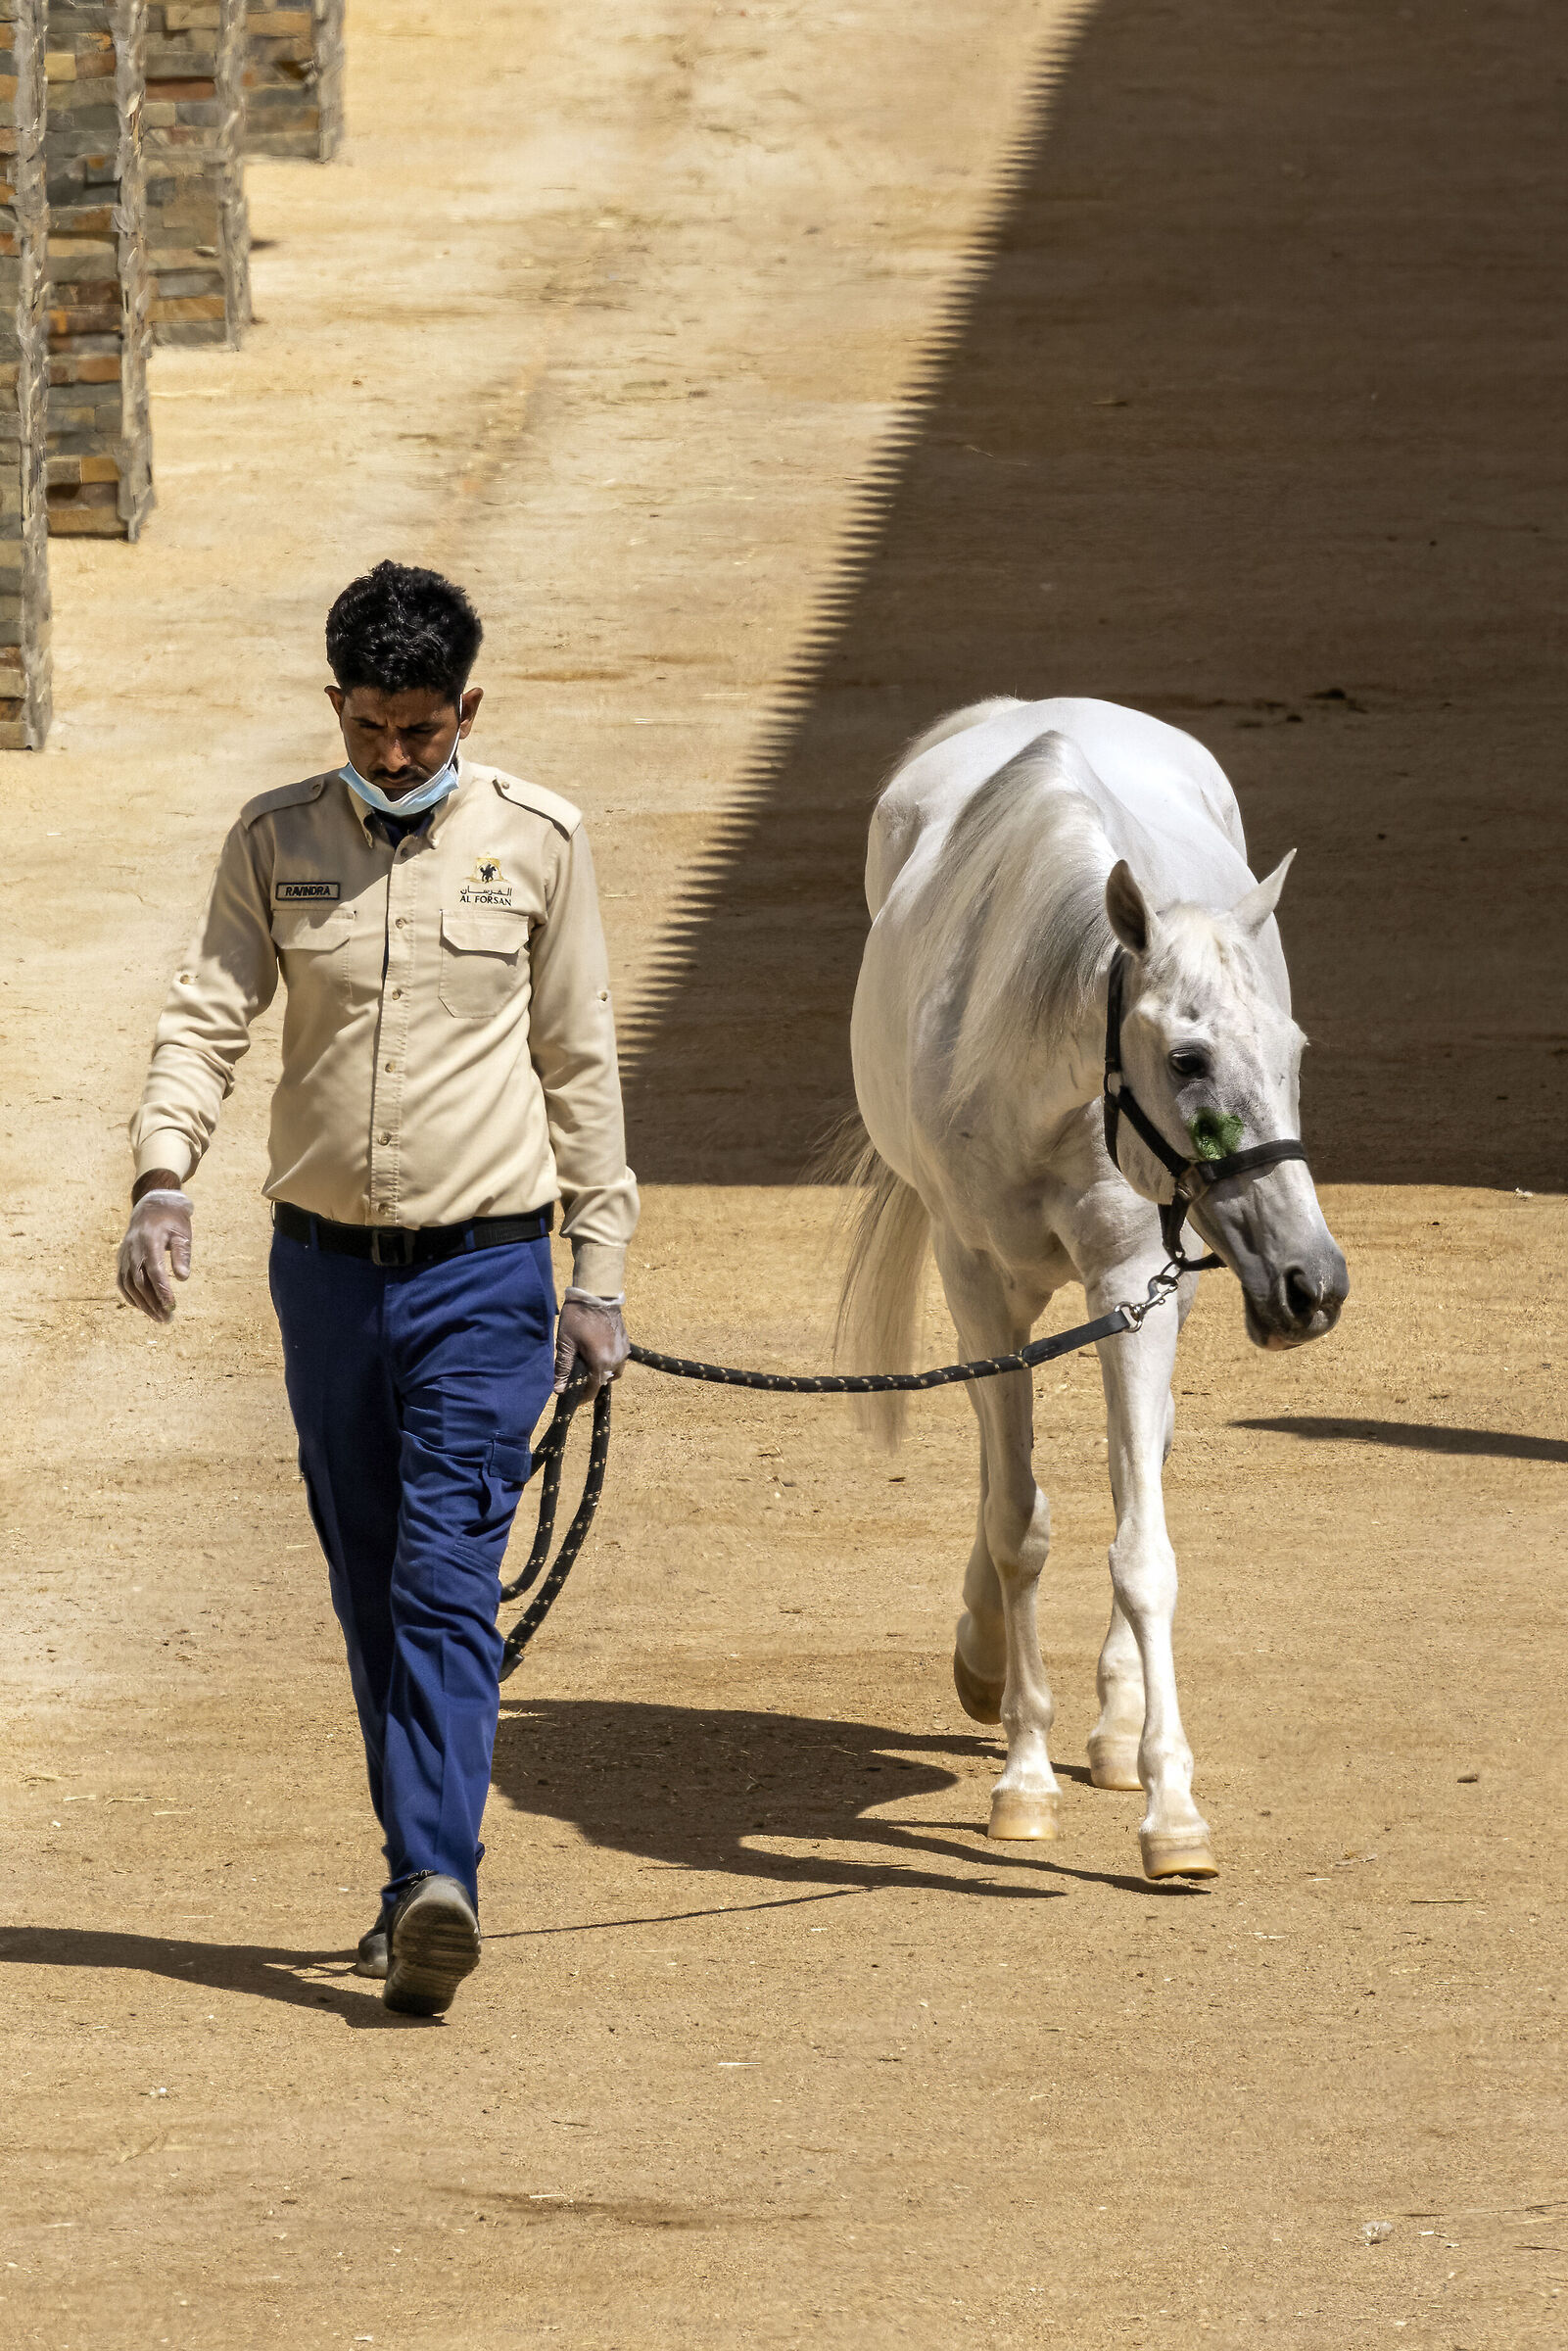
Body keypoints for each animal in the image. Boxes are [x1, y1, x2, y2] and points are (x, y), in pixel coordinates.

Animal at [839, 696, 1348, 1880]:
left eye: (1293, 1047)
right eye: (1190, 1061)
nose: (1310, 1283)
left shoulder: (1131, 1281)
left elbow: (1139, 1547)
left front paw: (1169, 1807)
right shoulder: (977, 1282)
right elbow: (1018, 1522)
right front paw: (1022, 1779)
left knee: (1138, 1464)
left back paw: (1112, 1725)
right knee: (1001, 1476)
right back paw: (985, 1660)